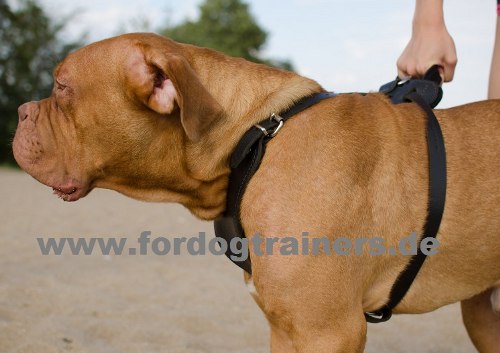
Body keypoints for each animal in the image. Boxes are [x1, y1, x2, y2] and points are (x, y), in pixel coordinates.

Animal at [11, 32, 500, 350]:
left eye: (61, 86)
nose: (19, 111)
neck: (255, 141)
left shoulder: (328, 331)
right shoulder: (284, 328)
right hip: (482, 314)